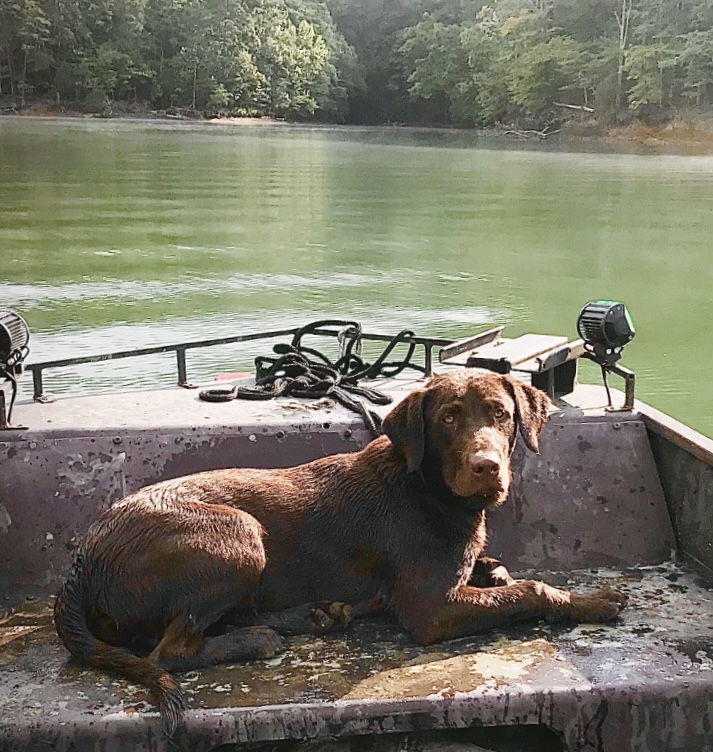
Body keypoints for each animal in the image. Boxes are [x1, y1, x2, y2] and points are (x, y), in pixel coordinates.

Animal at [52, 370, 624, 728]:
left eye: (501, 414)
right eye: (448, 419)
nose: (487, 467)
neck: (427, 487)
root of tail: (81, 563)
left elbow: (499, 572)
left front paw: (492, 569)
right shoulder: (431, 609)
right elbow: (531, 590)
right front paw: (592, 602)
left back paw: (316, 614)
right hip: (240, 535)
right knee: (171, 650)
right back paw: (260, 639)